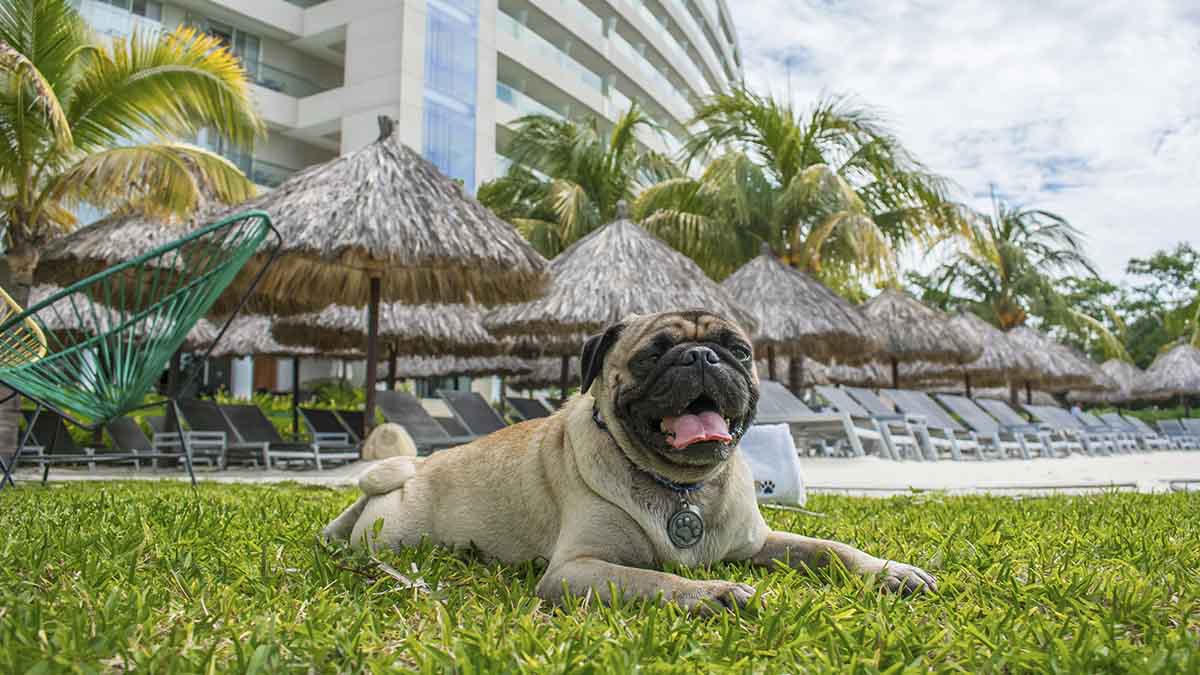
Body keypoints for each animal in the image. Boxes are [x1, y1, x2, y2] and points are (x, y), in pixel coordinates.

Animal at [328, 309, 936, 610]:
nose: (702, 355)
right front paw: (711, 593)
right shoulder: (577, 569)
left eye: (739, 351)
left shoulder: (761, 544)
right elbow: (651, 578)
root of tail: (411, 473)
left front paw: (890, 571)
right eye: (652, 354)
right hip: (397, 538)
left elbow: (833, 549)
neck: (684, 487)